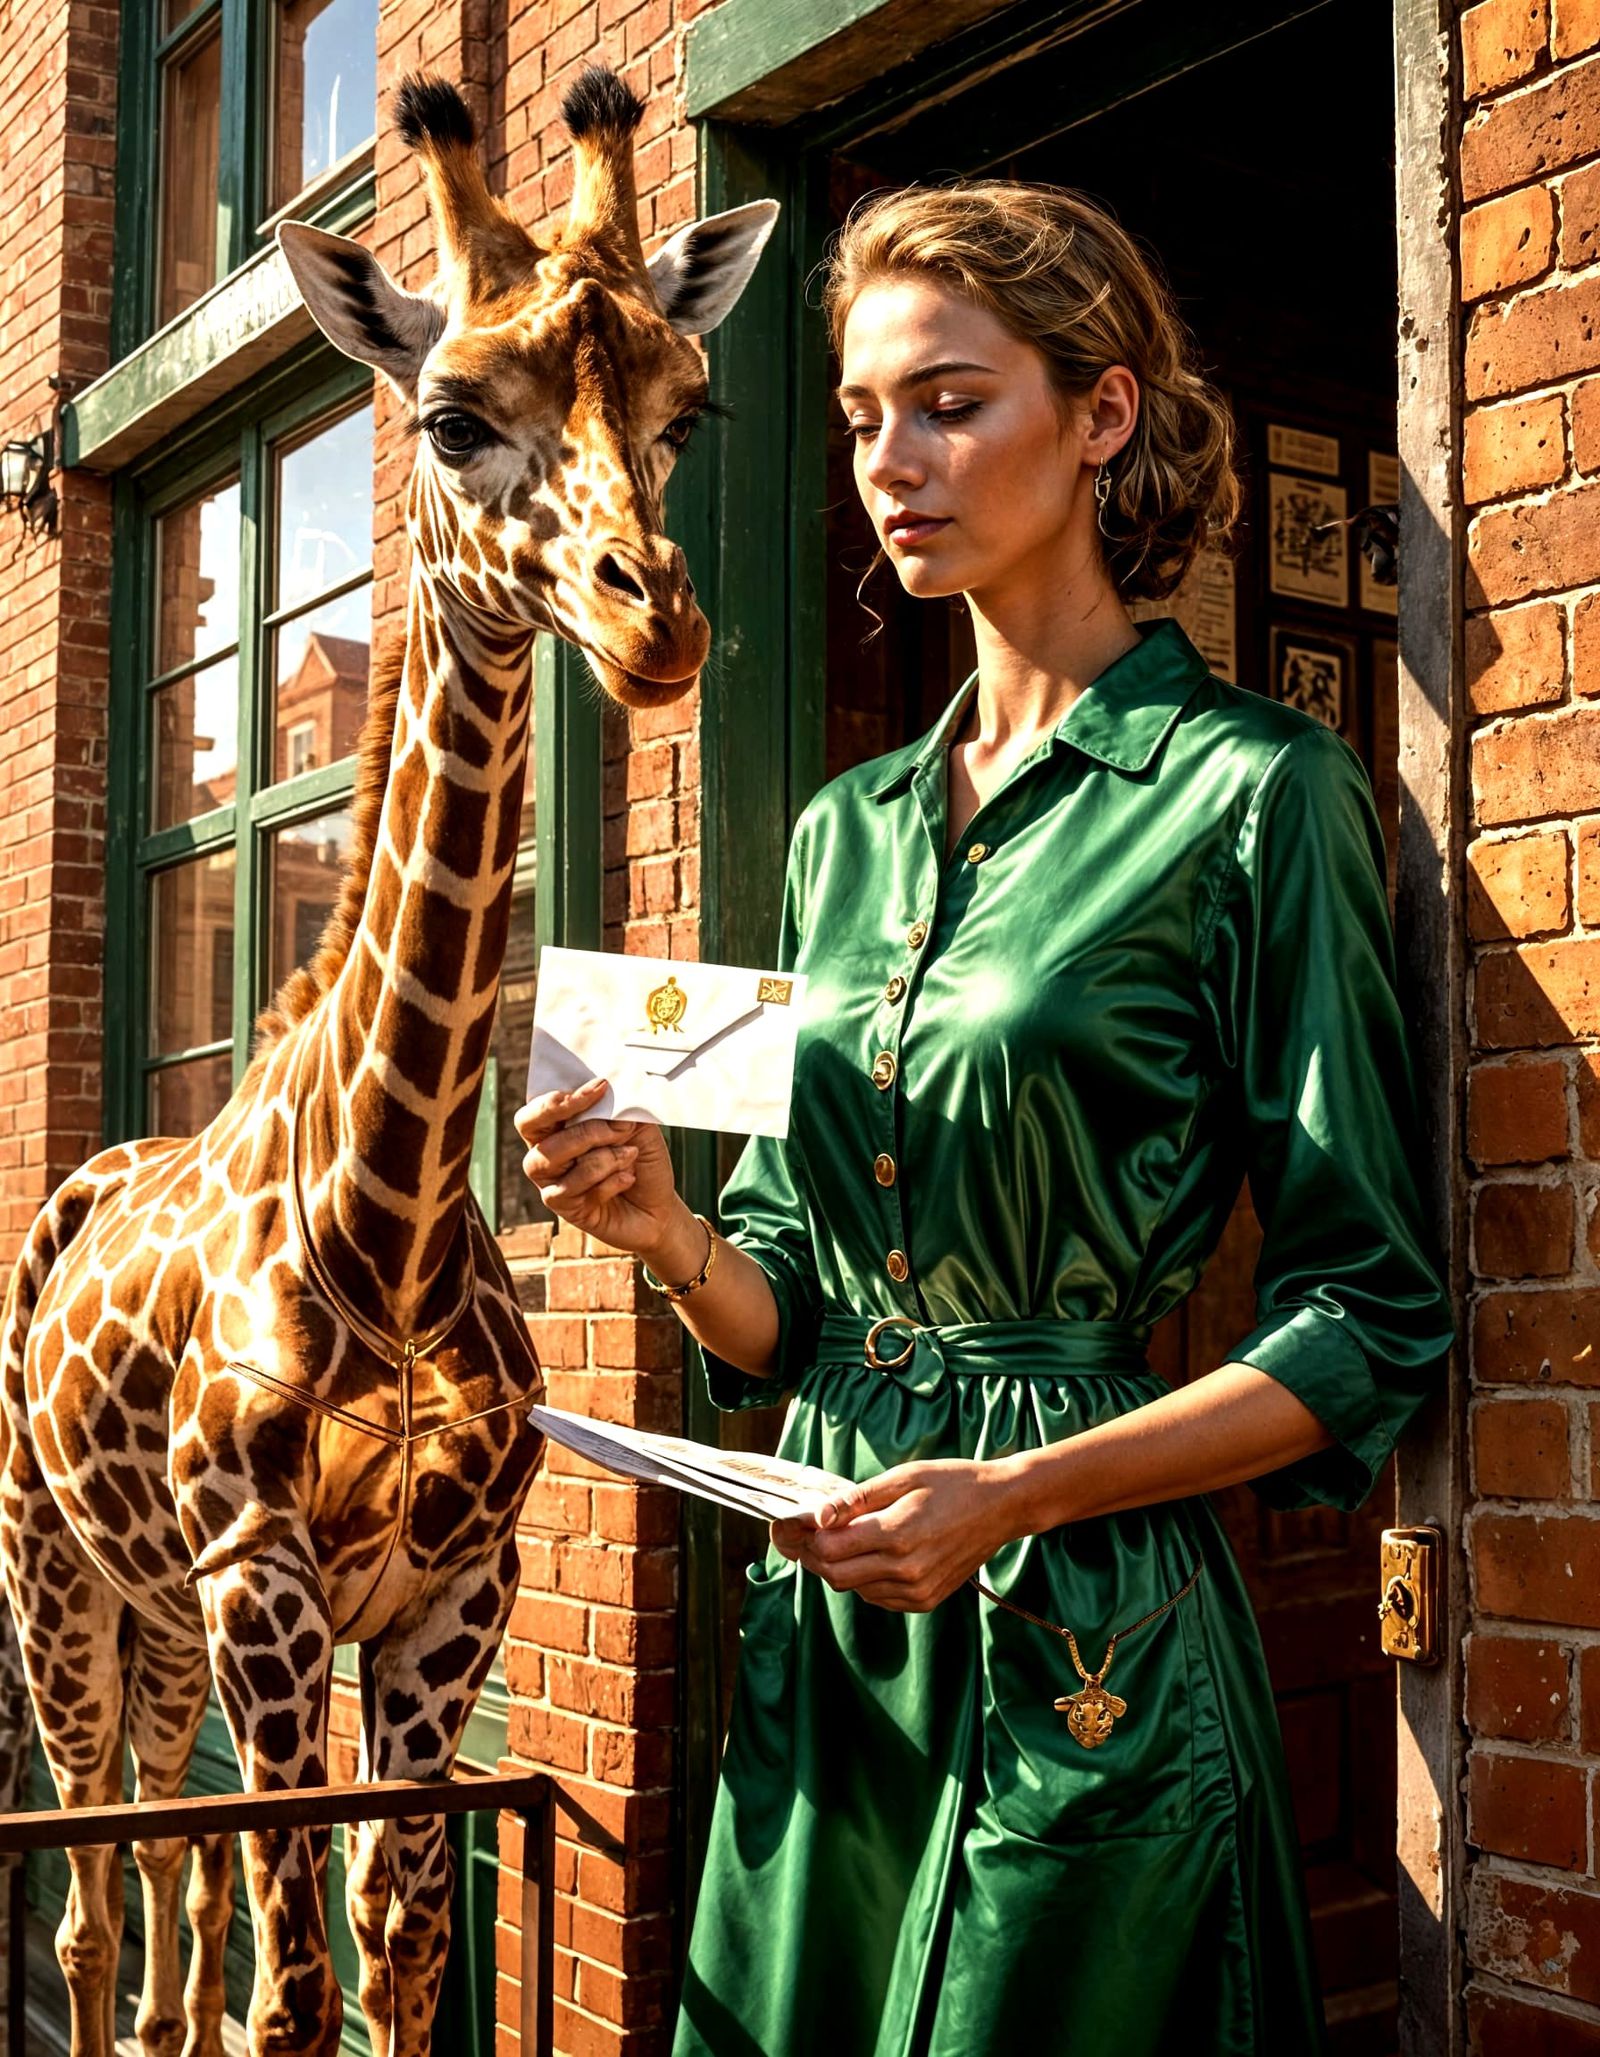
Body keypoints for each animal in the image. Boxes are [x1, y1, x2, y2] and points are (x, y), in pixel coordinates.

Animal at [0, 66, 775, 2057]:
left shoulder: (446, 1597)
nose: (655, 615)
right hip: (61, 1577)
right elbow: (294, 1992)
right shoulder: (267, 1579)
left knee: (174, 1870)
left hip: (159, 1611)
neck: (399, 1225)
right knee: (92, 1887)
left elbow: (403, 1947)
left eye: (688, 403)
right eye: (451, 415)